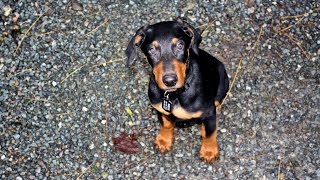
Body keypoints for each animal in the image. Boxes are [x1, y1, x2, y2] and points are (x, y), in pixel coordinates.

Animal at [125, 19, 230, 162]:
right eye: (151, 49)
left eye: (180, 45)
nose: (170, 81)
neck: (174, 94)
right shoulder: (160, 108)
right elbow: (166, 124)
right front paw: (164, 140)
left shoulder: (208, 112)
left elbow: (210, 132)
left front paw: (209, 151)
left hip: (223, 82)